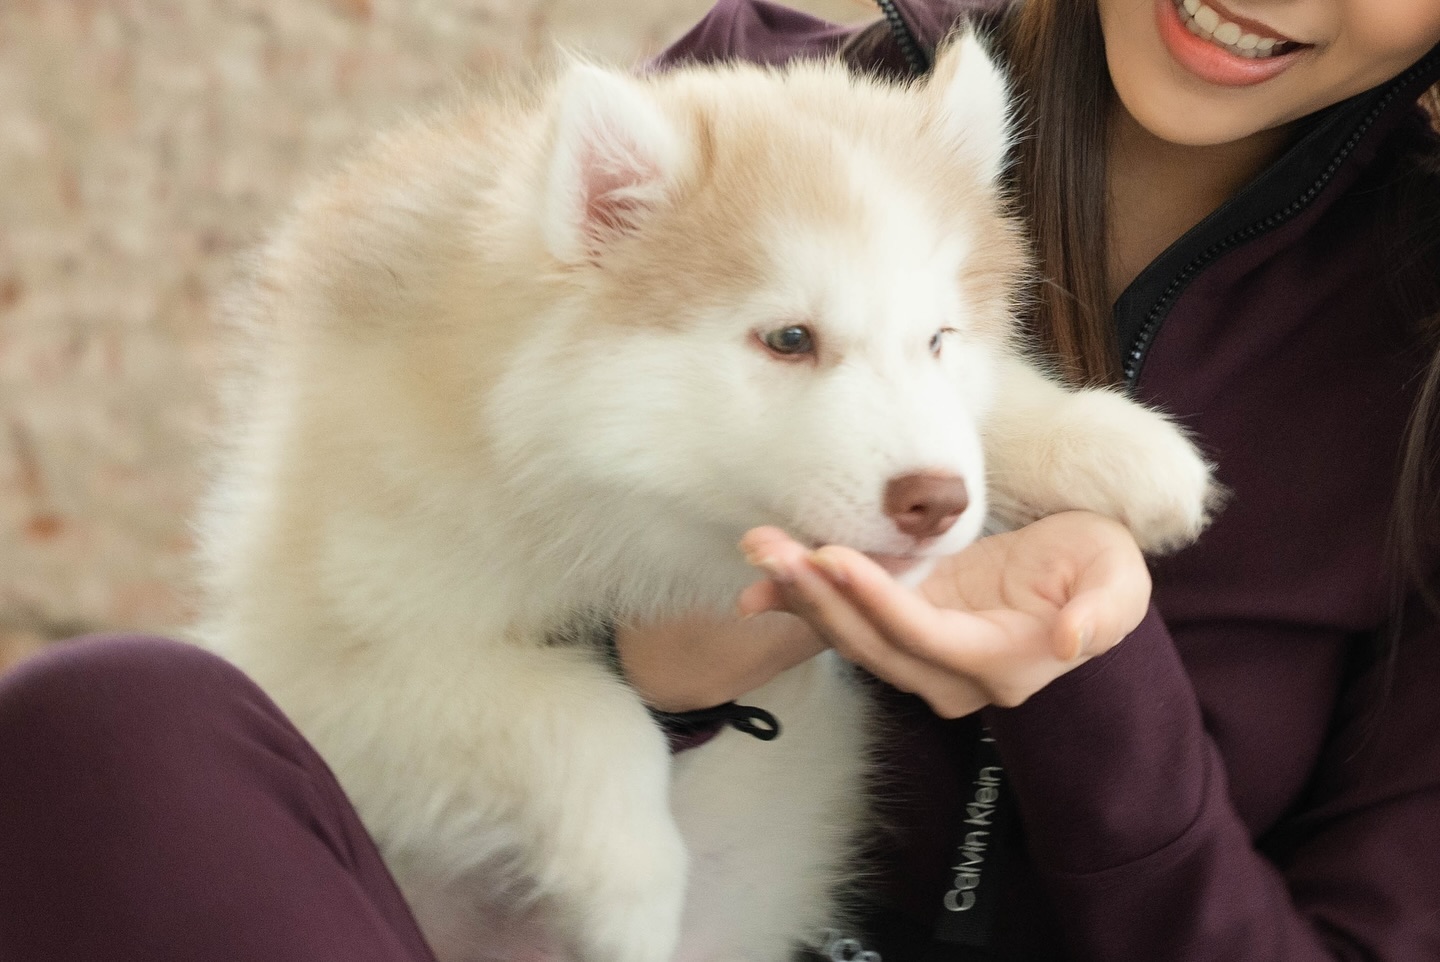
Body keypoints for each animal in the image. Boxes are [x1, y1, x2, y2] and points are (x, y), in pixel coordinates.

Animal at [194, 33, 1215, 962]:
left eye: (937, 339)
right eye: (790, 339)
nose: (936, 502)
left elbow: (995, 400)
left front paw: (1117, 446)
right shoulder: (330, 668)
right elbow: (587, 713)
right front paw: (633, 895)